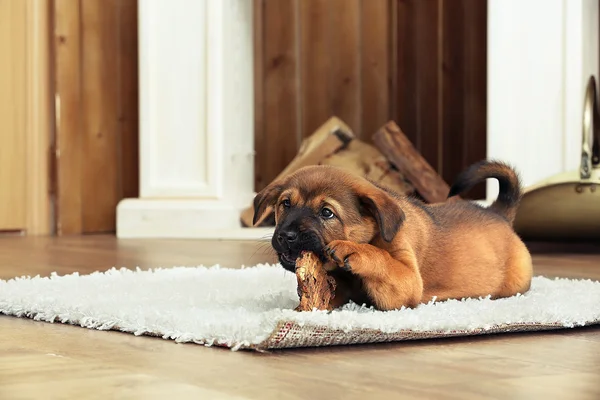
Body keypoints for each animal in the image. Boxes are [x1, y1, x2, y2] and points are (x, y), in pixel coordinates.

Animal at [251, 161, 532, 310]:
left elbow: (383, 260)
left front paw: (354, 250)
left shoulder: (408, 282)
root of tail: (498, 213)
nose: (286, 236)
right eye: (285, 204)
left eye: (327, 213)